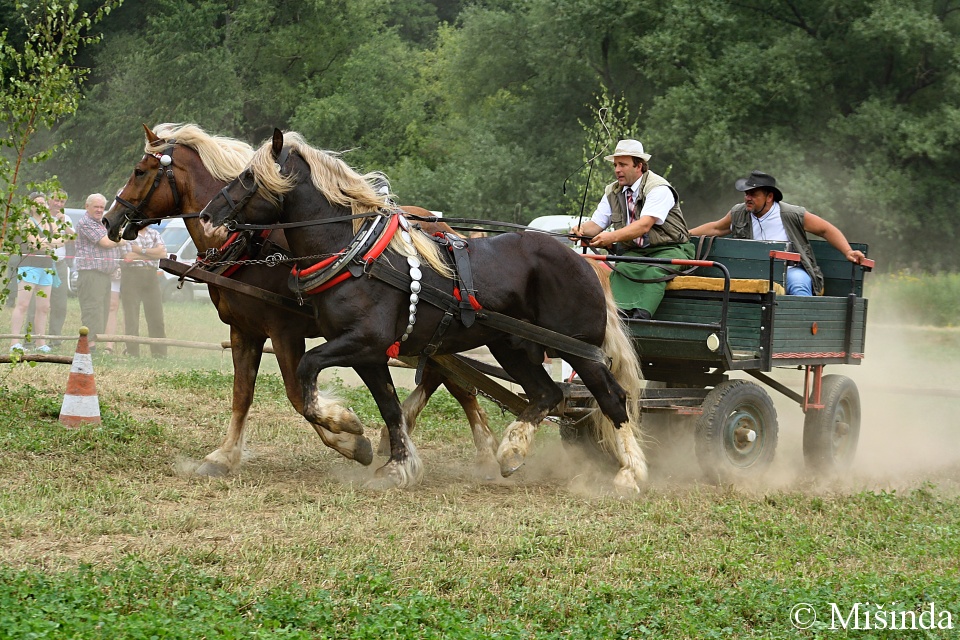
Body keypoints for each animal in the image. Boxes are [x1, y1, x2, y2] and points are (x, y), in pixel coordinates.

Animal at [101, 121, 498, 480]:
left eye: (139, 171)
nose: (109, 219)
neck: (249, 247)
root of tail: (443, 229)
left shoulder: (284, 331)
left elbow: (297, 393)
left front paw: (350, 436)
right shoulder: (243, 331)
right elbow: (242, 394)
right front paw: (223, 457)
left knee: (455, 383)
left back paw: (485, 454)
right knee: (444, 376)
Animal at [199, 129, 648, 490]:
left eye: (248, 177)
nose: (206, 216)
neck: (355, 254)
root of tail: (584, 259)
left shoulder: (362, 341)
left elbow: (307, 376)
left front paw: (348, 429)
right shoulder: (368, 353)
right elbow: (389, 406)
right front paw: (396, 464)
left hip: (578, 348)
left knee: (612, 399)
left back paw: (629, 475)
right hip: (512, 346)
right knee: (548, 393)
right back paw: (511, 452)